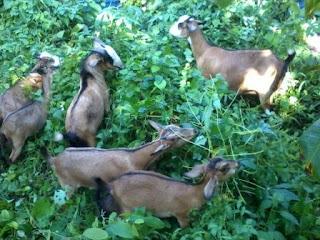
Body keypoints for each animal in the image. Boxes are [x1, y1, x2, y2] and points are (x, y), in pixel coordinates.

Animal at [47, 120, 198, 197]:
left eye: (177, 126)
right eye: (176, 138)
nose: (195, 131)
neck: (135, 158)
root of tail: (54, 160)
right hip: (68, 186)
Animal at [95, 157, 240, 228]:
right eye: (225, 168)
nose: (238, 163)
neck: (195, 192)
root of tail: (112, 185)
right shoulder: (181, 214)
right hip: (128, 211)